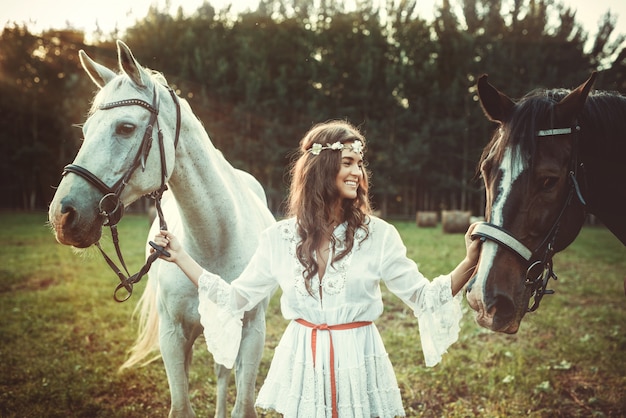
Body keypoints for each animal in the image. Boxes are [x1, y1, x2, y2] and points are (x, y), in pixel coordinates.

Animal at [48, 40, 272, 418]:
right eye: (85, 132)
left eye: (125, 127)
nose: (62, 216)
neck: (215, 241)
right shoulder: (172, 336)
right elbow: (180, 406)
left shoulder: (252, 331)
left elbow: (242, 404)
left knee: (222, 372)